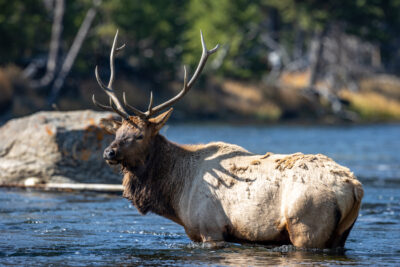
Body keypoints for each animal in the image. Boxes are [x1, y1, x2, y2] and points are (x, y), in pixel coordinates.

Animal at [93, 30, 362, 249]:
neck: (175, 196)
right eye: (117, 133)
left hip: (306, 226)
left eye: (139, 135)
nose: (109, 152)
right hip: (340, 235)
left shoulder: (209, 228)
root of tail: (355, 187)